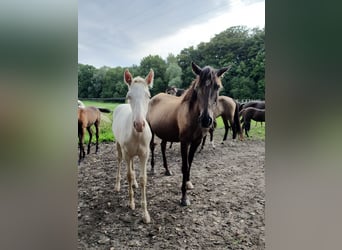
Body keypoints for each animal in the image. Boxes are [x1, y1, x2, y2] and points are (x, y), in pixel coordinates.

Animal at [112, 68, 154, 223]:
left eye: (148, 96)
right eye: (129, 96)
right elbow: (128, 175)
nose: (139, 125)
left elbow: (143, 179)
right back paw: (117, 185)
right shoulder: (127, 153)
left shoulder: (144, 154)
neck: (136, 135)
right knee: (119, 161)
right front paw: (131, 203)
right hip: (119, 147)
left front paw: (145, 214)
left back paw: (135, 183)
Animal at [146, 61, 230, 206]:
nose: (206, 120)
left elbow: (190, 162)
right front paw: (184, 197)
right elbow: (185, 166)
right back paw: (152, 169)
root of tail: (155, 97)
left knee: (162, 147)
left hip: (165, 132)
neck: (191, 115)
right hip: (151, 130)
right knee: (152, 146)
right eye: (197, 87)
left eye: (217, 86)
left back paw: (167, 170)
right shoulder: (184, 142)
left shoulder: (196, 142)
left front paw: (188, 183)